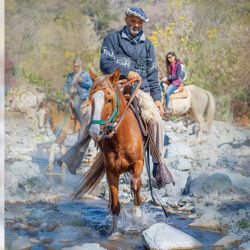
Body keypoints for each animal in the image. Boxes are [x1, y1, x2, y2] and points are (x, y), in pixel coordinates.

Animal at [73, 69, 145, 235]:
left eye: (109, 99)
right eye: (91, 99)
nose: (94, 131)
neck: (121, 141)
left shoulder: (138, 162)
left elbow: (135, 184)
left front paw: (137, 215)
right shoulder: (111, 171)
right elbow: (115, 204)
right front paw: (114, 233)